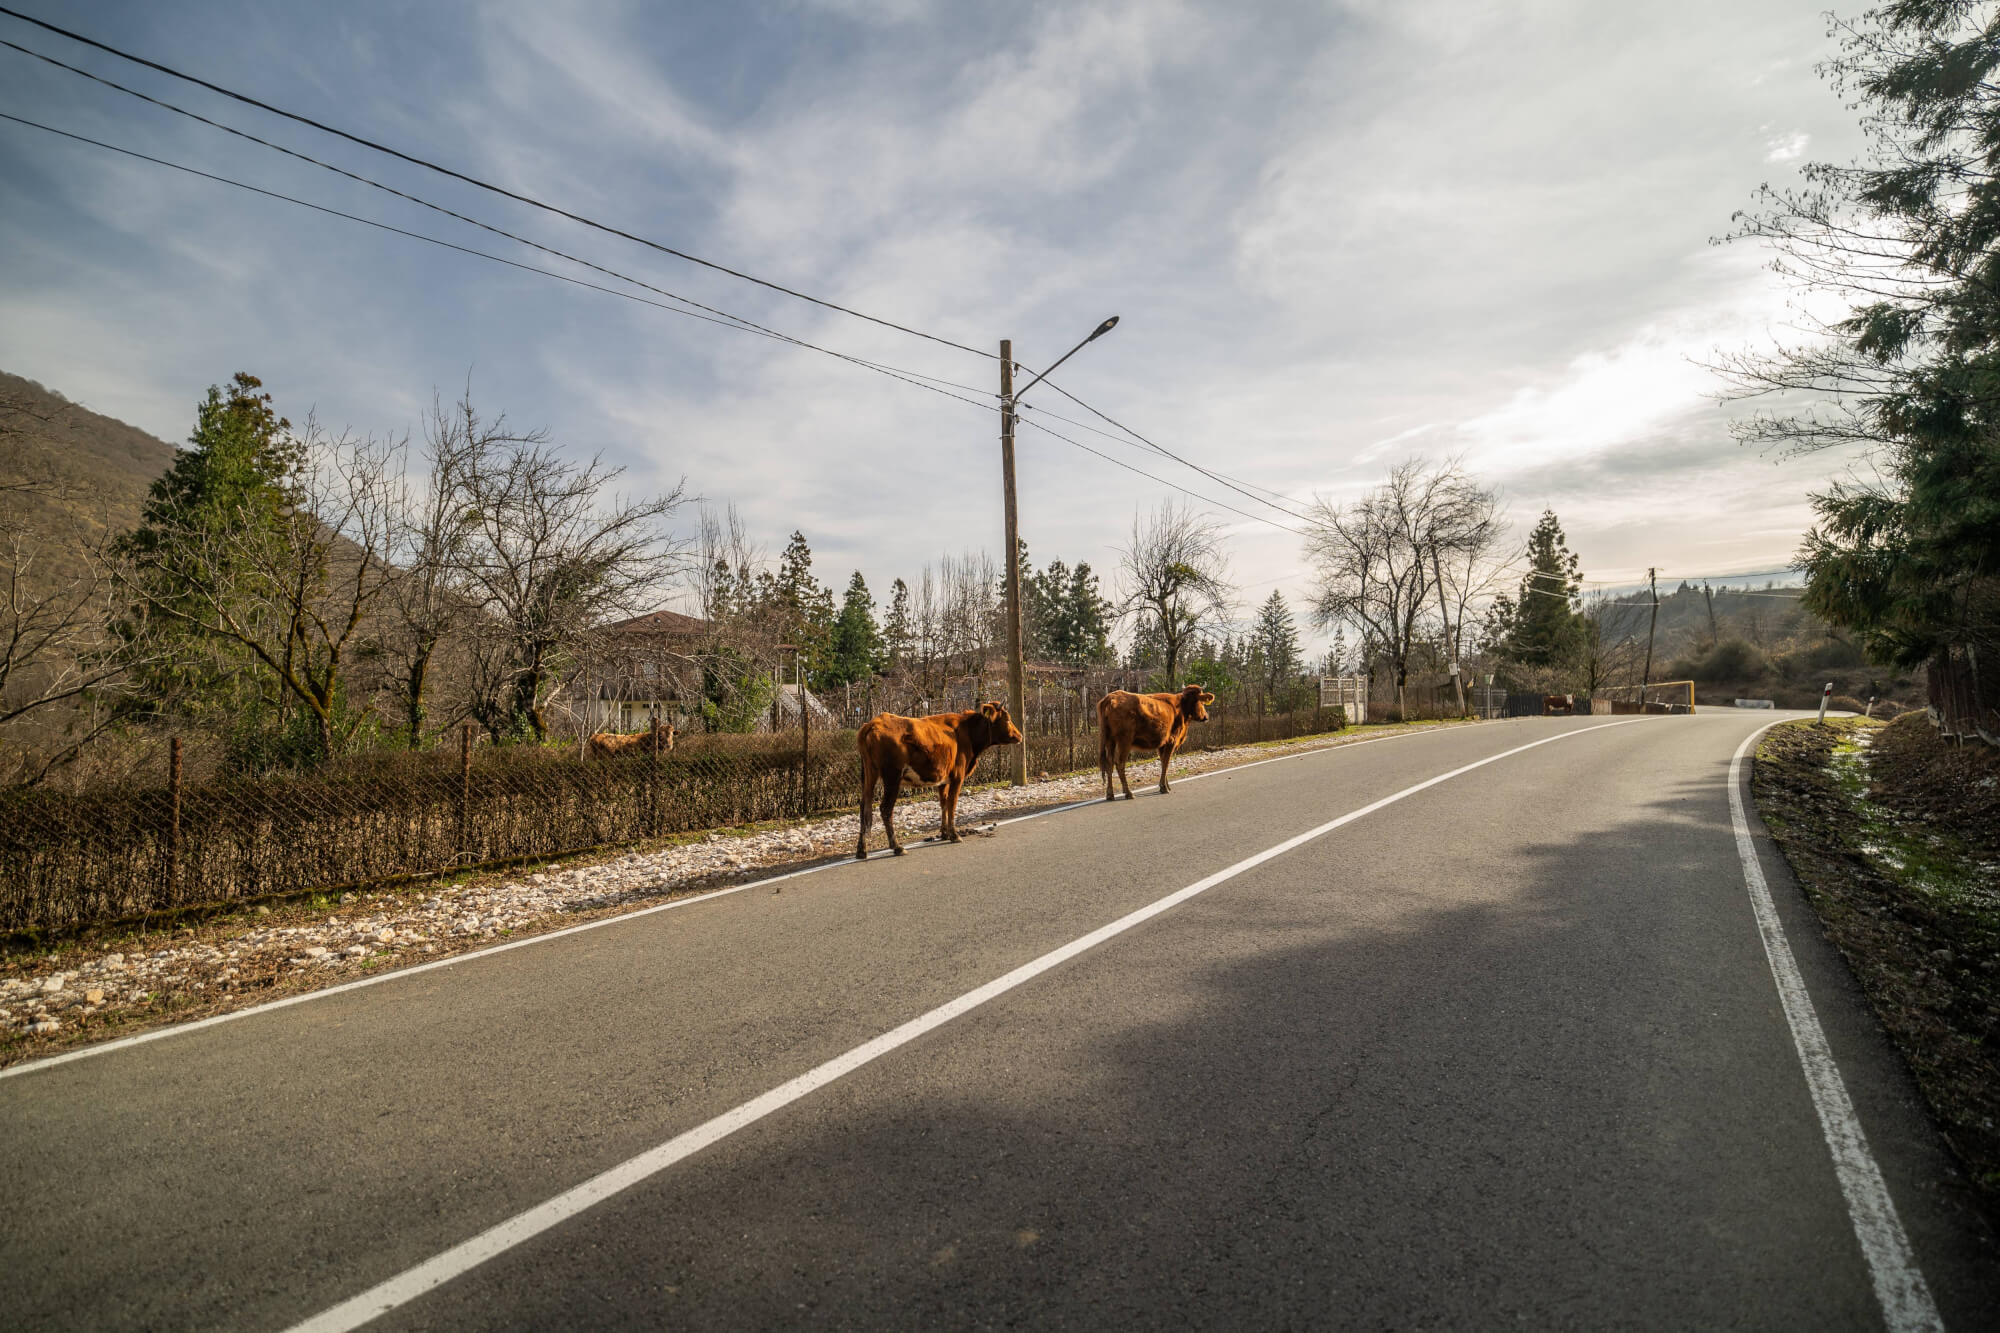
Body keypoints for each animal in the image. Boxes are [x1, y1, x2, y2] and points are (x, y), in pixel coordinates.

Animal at [855, 701, 1023, 860]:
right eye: (1007, 719)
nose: (1020, 736)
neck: (966, 732)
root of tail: (872, 723)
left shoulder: (943, 780)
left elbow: (944, 803)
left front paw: (944, 833)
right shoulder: (957, 777)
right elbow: (952, 804)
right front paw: (954, 834)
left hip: (869, 774)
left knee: (864, 807)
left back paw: (861, 850)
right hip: (892, 777)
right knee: (885, 809)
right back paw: (897, 847)